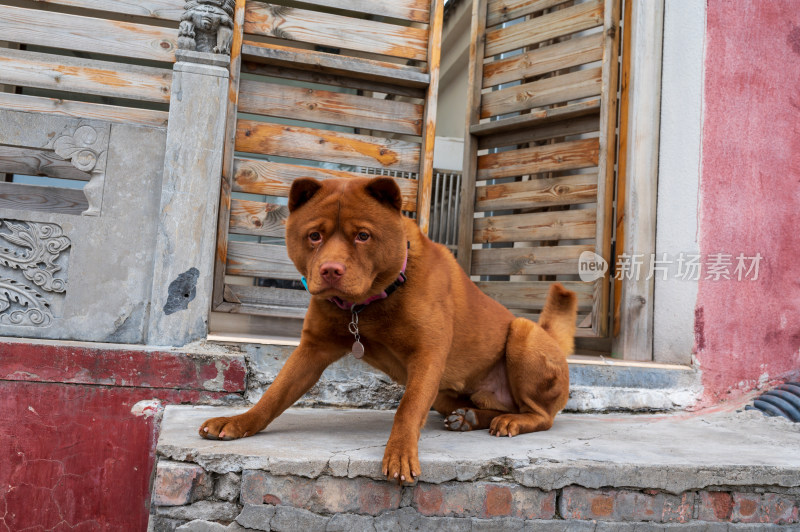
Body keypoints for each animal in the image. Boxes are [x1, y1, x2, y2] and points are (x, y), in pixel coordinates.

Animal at [199, 177, 576, 484]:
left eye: (363, 236)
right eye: (314, 236)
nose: (331, 269)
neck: (367, 304)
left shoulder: (427, 355)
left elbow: (407, 408)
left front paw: (399, 454)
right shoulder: (312, 350)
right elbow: (274, 395)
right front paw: (239, 421)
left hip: (524, 334)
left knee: (542, 415)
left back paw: (513, 422)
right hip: (444, 393)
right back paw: (470, 417)